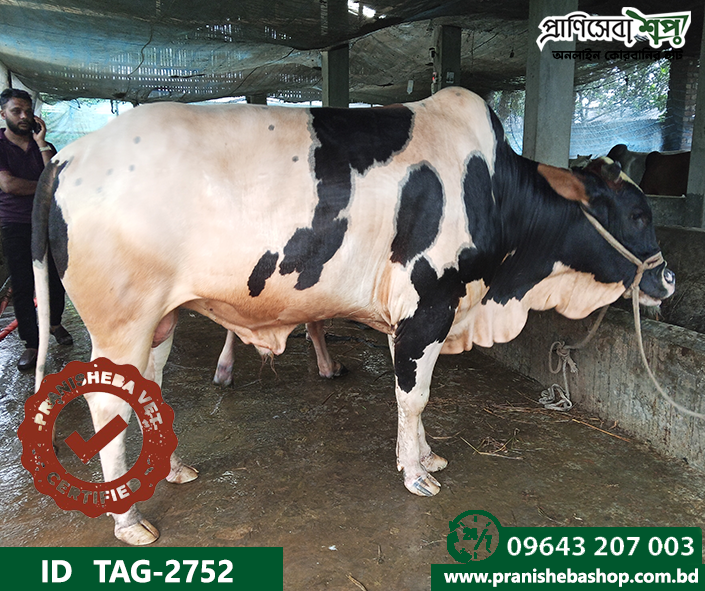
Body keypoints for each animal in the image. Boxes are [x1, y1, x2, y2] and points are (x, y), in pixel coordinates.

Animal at [32, 87, 675, 545]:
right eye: (638, 213)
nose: (667, 279)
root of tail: (71, 153)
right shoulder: (426, 309)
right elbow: (414, 396)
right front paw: (416, 472)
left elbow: (418, 401)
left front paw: (428, 453)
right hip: (122, 323)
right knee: (105, 406)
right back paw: (128, 520)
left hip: (159, 321)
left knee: (147, 388)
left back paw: (174, 469)